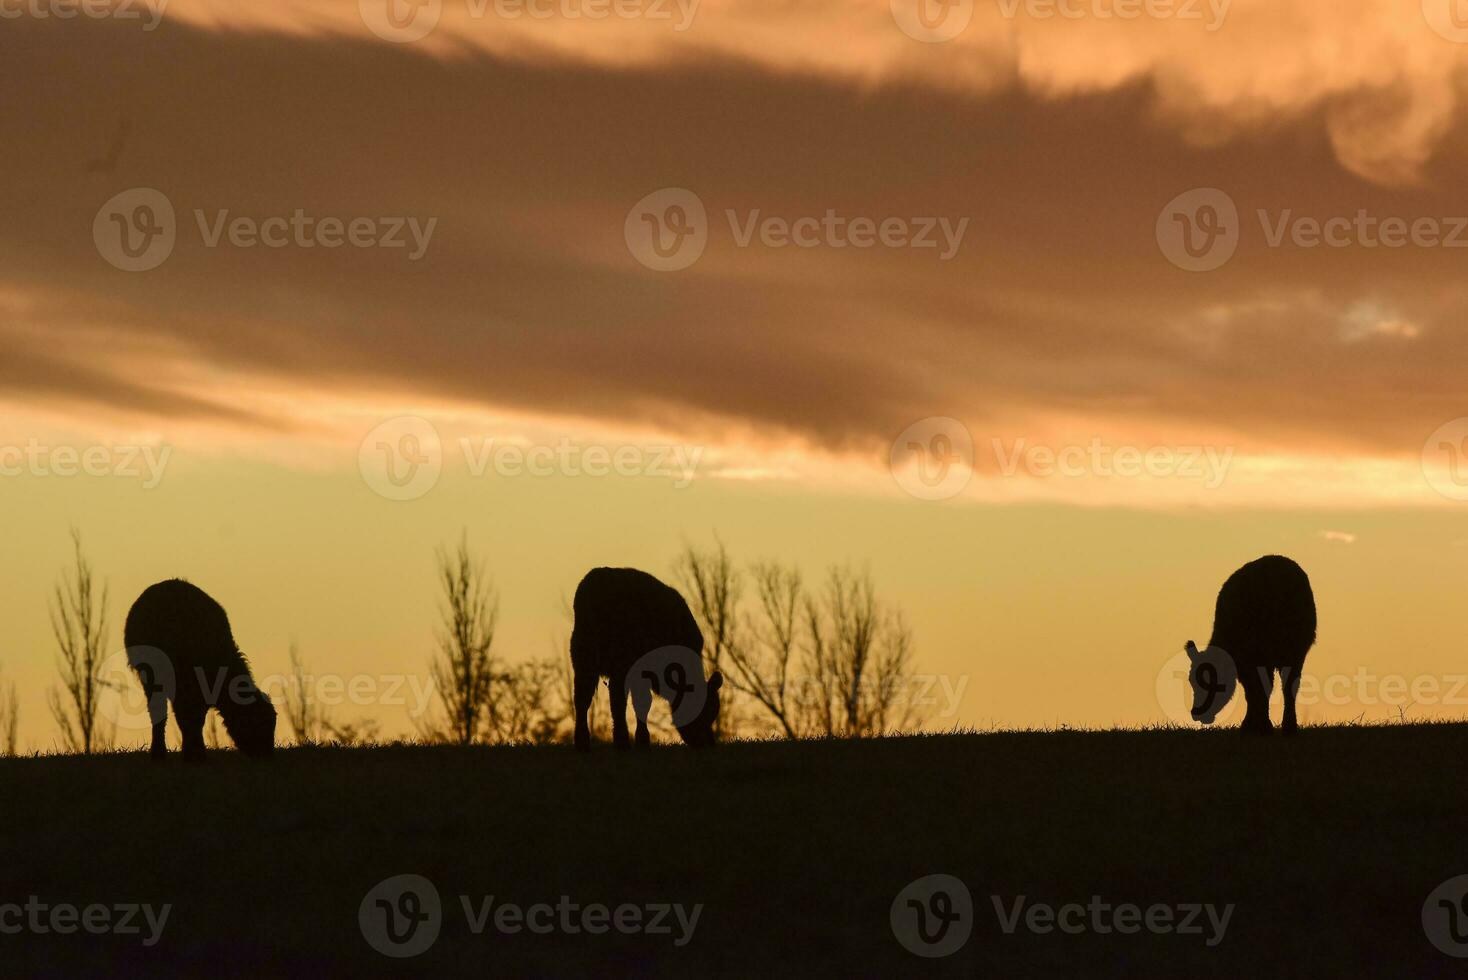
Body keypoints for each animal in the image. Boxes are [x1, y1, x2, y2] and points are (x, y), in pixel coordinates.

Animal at [124, 578, 275, 762]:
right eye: (257, 722)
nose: (267, 755)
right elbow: (187, 718)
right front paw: (193, 754)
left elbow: (195, 719)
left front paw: (195, 752)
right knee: (159, 711)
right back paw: (159, 754)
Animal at [566, 566, 722, 751]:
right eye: (701, 711)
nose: (708, 744)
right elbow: (642, 702)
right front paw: (642, 740)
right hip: (617, 662)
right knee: (615, 700)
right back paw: (621, 741)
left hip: (583, 658)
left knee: (583, 698)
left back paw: (583, 742)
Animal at [1186, 551, 1315, 733]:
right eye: (1191, 680)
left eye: (1215, 683)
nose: (1196, 713)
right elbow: (1257, 690)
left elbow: (1255, 690)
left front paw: (1255, 724)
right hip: (1292, 652)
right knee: (1287, 685)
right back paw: (1287, 725)